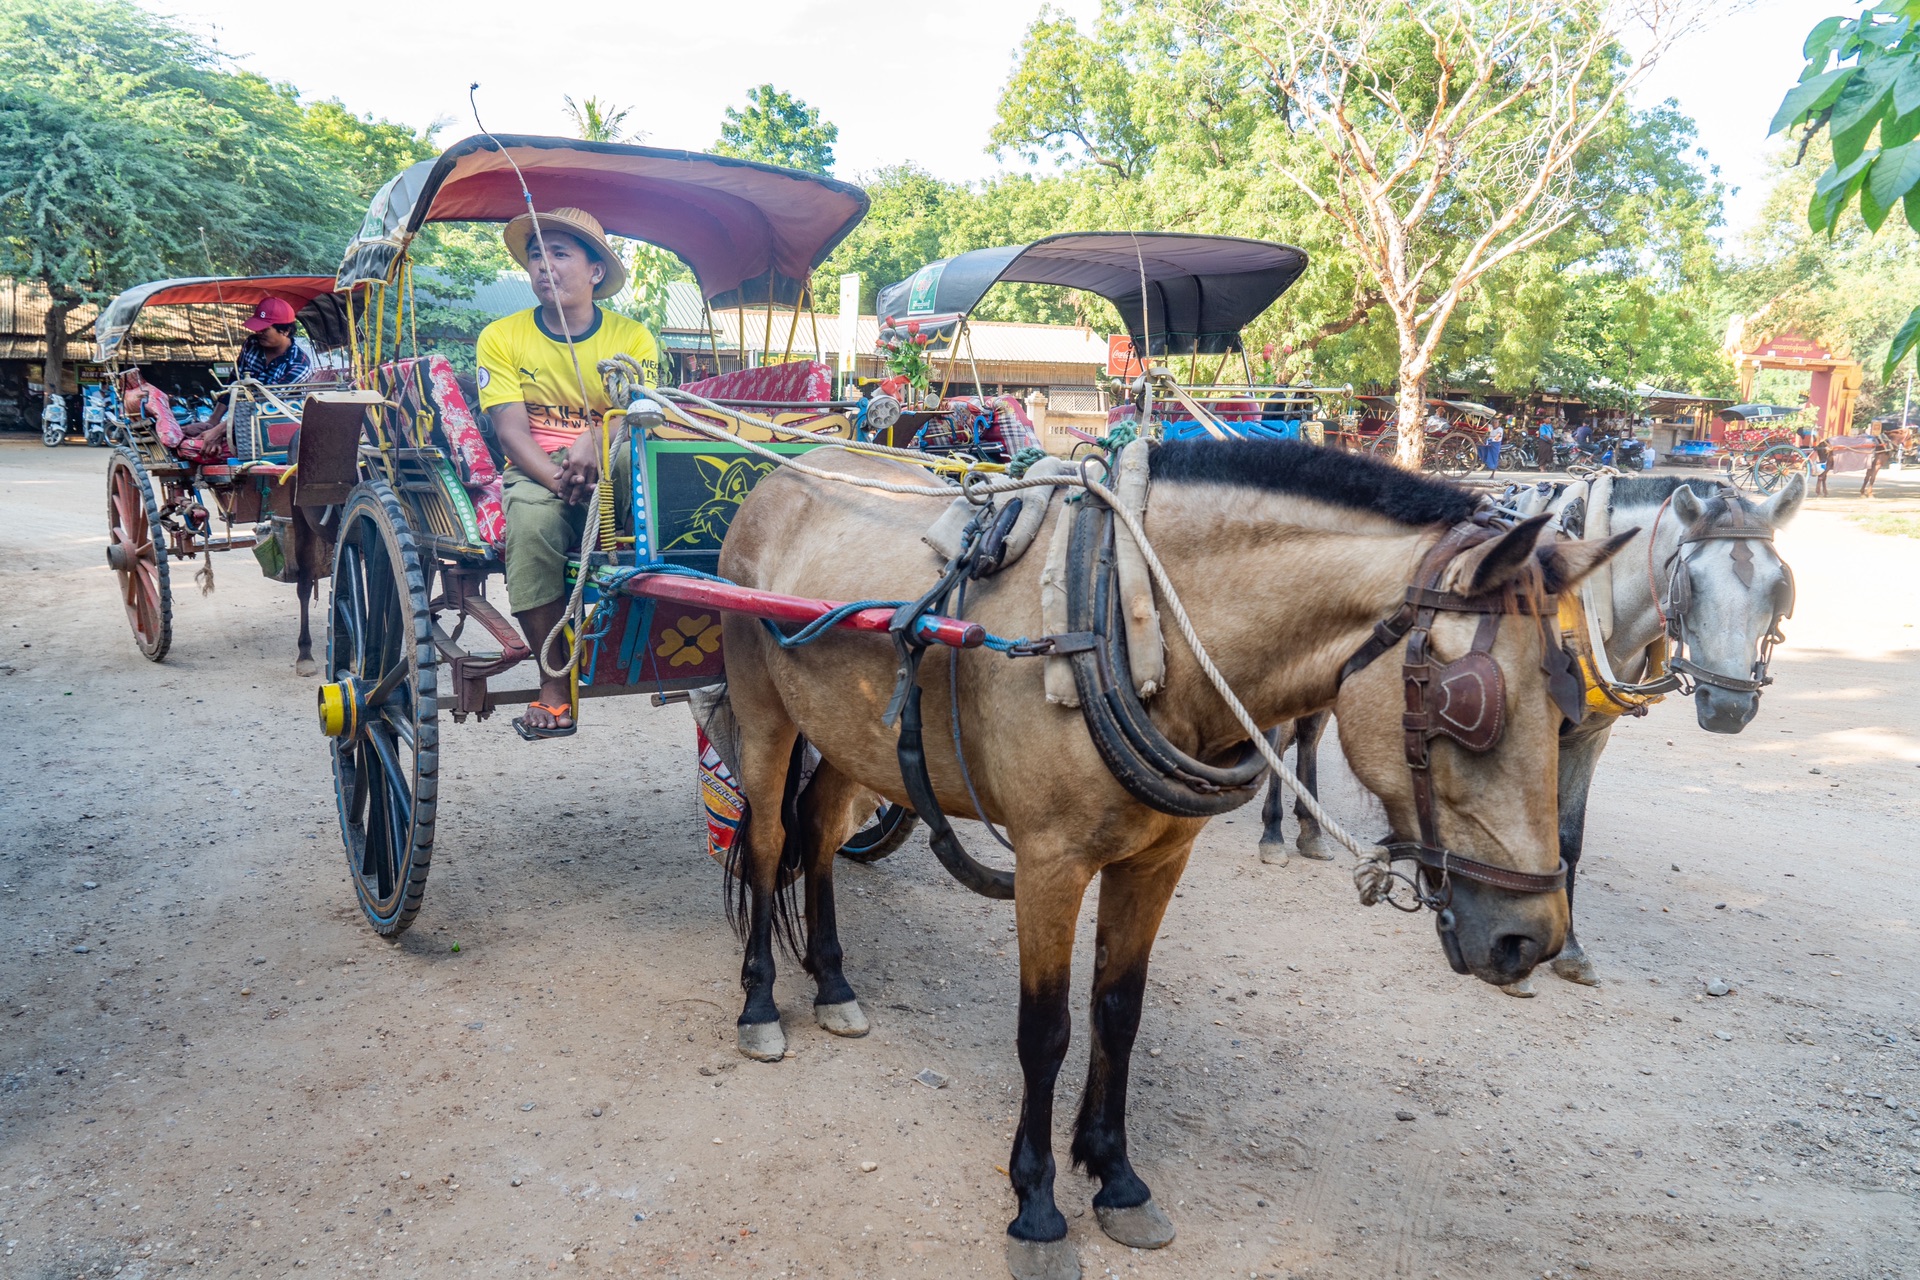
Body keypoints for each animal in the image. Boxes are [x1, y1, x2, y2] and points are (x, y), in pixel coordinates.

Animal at [714, 441, 1628, 1280]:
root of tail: (786, 471)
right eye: (1466, 703)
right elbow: (1046, 1030)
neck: (1121, 618)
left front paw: (1115, 1177)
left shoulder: (1157, 862)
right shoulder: (1048, 866)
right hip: (762, 706)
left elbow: (1119, 1011)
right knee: (767, 846)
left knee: (819, 835)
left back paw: (834, 983)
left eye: (1570, 701)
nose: (1532, 939)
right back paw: (760, 1004)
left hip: (850, 734)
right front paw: (1037, 1206)